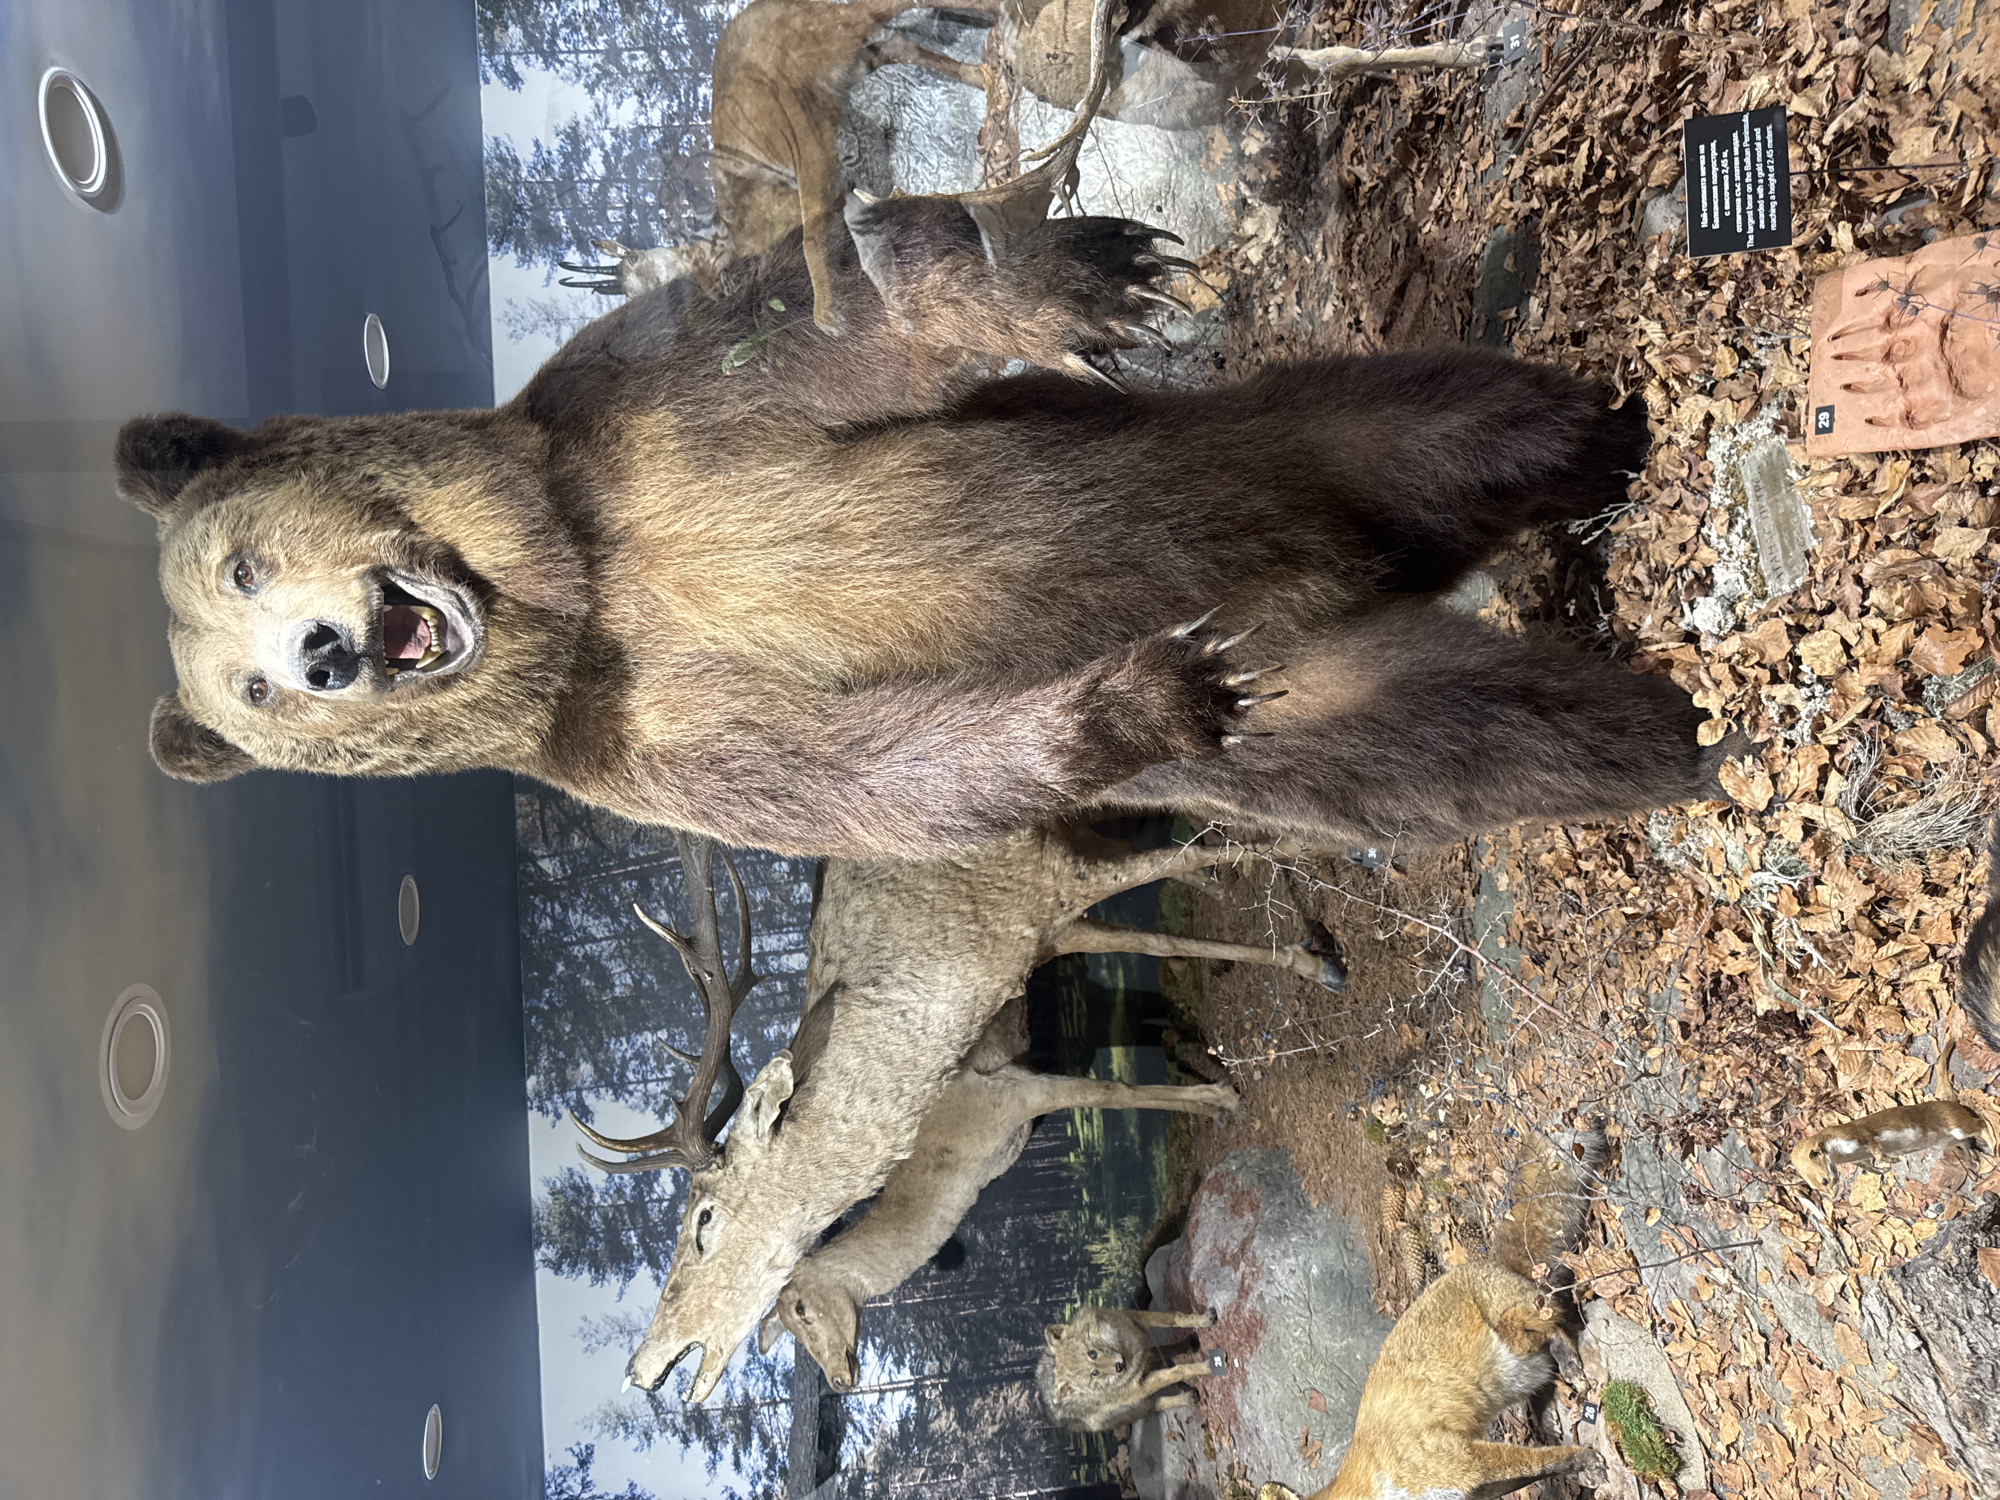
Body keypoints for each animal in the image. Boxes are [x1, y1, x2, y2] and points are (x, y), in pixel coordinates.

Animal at [120, 217, 1719, 862]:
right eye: (247, 689)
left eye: (242, 562)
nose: (323, 656)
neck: (571, 587)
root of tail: (1344, 575)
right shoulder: (647, 737)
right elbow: (877, 771)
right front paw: (1140, 696)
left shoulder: (641, 430)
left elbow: (826, 315)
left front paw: (1086, 265)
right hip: (1309, 698)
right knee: (1459, 738)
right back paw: (1671, 734)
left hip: (1260, 445)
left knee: (1440, 418)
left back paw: (1604, 438)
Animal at [1259, 1125, 1609, 1500]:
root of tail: (1492, 1261)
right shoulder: (1473, 1486)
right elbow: (1536, 1469)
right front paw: (1577, 1470)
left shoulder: (1457, 1459)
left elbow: (1543, 1460)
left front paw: (1583, 1462)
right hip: (1517, 1370)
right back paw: (1550, 1410)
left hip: (1515, 1334)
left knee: (1554, 1327)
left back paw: (1570, 1366)